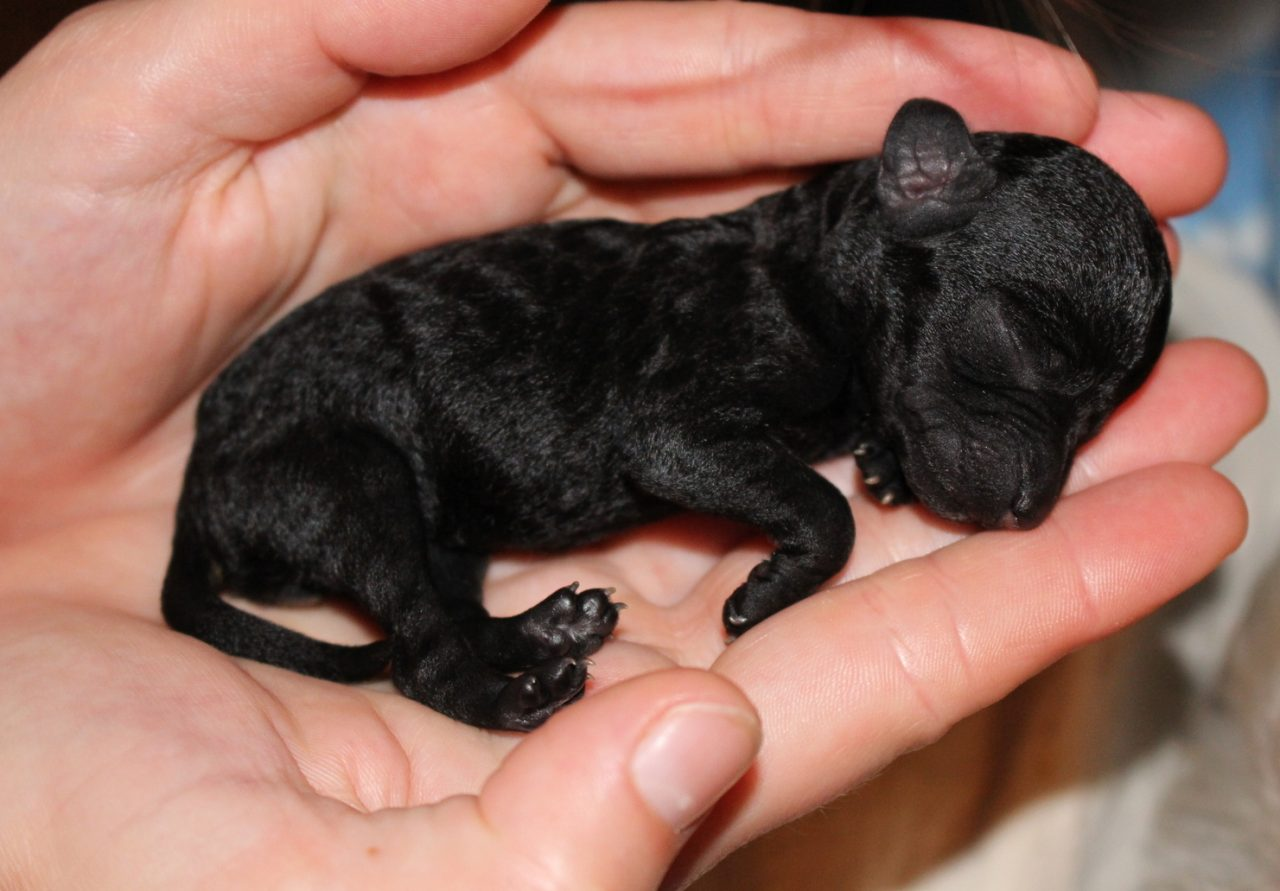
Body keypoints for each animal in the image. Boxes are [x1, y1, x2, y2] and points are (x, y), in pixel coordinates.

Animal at [160, 101, 1172, 732]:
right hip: (349, 479)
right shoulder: (674, 429)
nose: (1031, 509)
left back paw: (546, 628)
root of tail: (195, 486)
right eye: (1027, 341)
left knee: (446, 605)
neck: (809, 269)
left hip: (437, 525)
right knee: (416, 646)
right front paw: (769, 587)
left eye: (1102, 413)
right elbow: (823, 509)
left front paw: (882, 462)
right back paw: (515, 698)